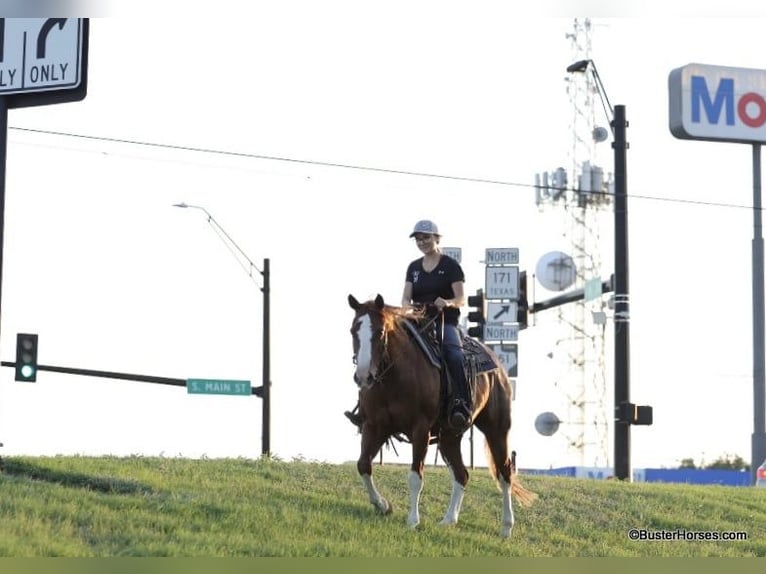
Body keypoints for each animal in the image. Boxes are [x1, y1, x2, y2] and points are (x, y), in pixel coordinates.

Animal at [352, 296, 536, 540]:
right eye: (353, 330)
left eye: (380, 331)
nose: (364, 376)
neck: (395, 376)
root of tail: (497, 365)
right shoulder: (374, 426)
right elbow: (363, 465)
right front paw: (383, 505)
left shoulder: (420, 430)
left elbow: (415, 477)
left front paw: (413, 520)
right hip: (450, 436)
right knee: (462, 474)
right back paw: (449, 520)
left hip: (497, 429)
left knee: (505, 472)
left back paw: (506, 527)